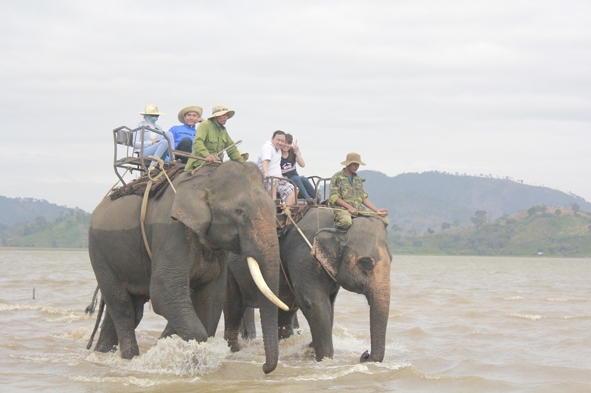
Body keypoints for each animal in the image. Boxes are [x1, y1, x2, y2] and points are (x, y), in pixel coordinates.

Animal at [88, 160, 290, 374]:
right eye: (240, 212)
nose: (264, 368)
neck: (207, 178)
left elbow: (212, 299)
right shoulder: (171, 231)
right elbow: (164, 293)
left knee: (129, 310)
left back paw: (103, 353)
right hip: (99, 252)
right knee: (122, 307)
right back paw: (130, 357)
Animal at [225, 207, 394, 362]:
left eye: (392, 259)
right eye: (366, 262)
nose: (365, 354)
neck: (336, 223)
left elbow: (330, 306)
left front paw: (312, 349)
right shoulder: (303, 257)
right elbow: (313, 304)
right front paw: (324, 359)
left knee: (285, 313)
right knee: (234, 307)